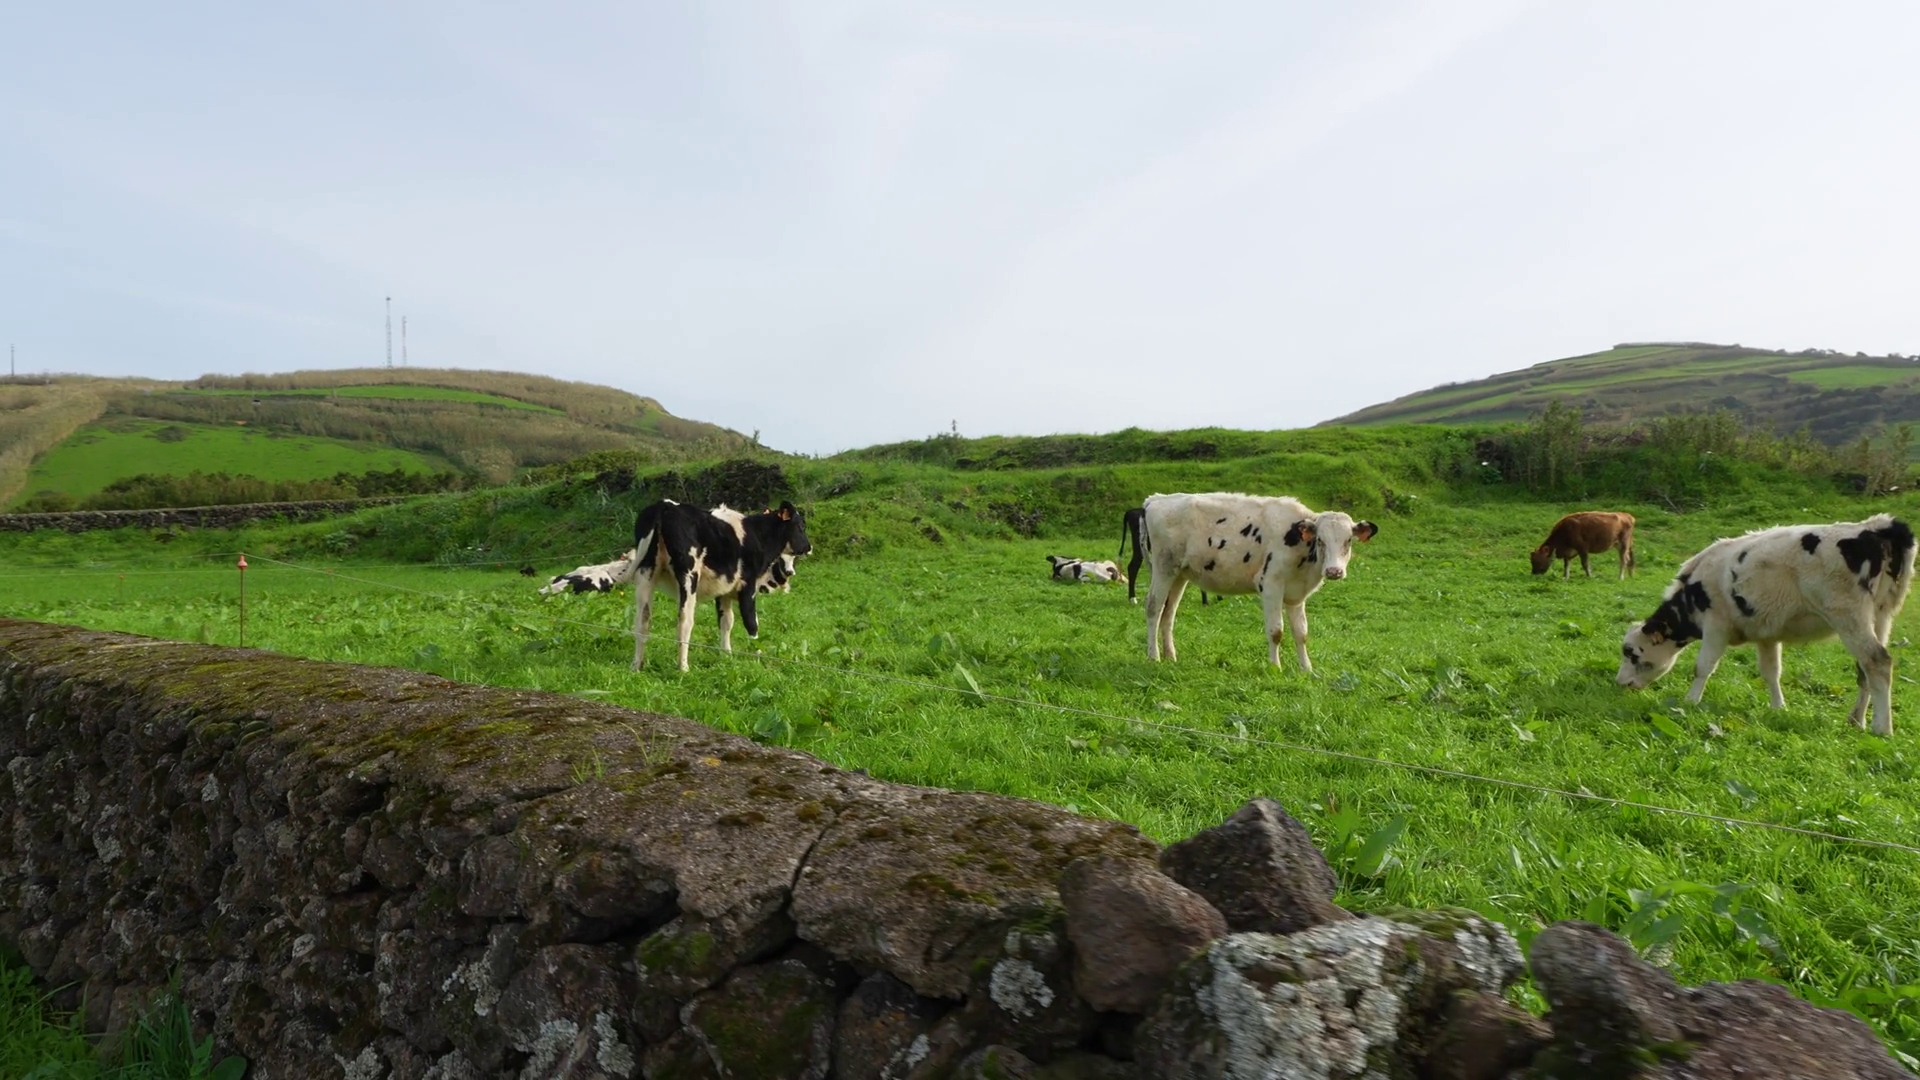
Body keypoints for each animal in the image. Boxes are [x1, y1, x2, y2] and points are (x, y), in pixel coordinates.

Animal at [632, 499, 812, 671]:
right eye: (801, 526)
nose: (808, 547)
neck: (758, 535)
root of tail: (665, 505)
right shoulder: (748, 586)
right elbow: (752, 623)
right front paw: (757, 656)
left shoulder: (724, 589)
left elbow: (726, 621)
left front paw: (726, 655)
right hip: (688, 576)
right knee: (684, 620)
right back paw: (683, 667)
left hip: (646, 574)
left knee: (643, 619)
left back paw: (636, 666)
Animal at [1141, 493, 1377, 671]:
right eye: (1320, 540)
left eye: (1348, 540)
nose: (1334, 571)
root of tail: (1156, 499)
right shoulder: (1271, 585)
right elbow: (1276, 631)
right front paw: (1275, 667)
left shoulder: (1296, 596)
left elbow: (1301, 633)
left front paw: (1307, 669)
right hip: (1163, 568)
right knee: (1154, 607)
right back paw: (1154, 656)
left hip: (1179, 575)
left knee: (1169, 612)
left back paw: (1170, 656)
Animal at [1616, 514, 1915, 736]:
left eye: (1631, 653)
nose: (1620, 682)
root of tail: (1875, 527)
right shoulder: (1767, 634)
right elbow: (1771, 672)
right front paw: (1778, 707)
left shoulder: (1716, 625)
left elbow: (1703, 667)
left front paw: (1691, 700)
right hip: (1880, 617)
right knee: (1864, 669)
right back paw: (1857, 719)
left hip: (1849, 617)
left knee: (1877, 662)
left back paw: (1882, 728)